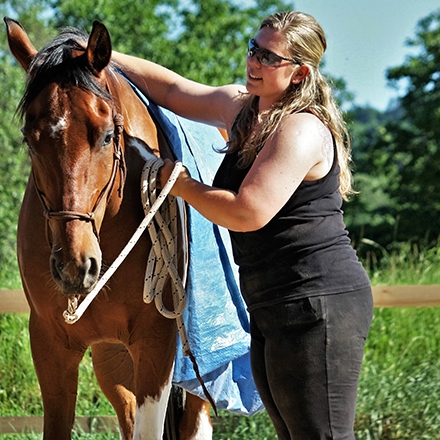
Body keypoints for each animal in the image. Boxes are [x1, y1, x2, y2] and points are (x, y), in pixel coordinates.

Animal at [4, 17, 214, 440]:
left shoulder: (156, 345)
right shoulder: (51, 346)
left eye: (105, 135)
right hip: (113, 361)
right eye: (30, 139)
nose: (75, 265)